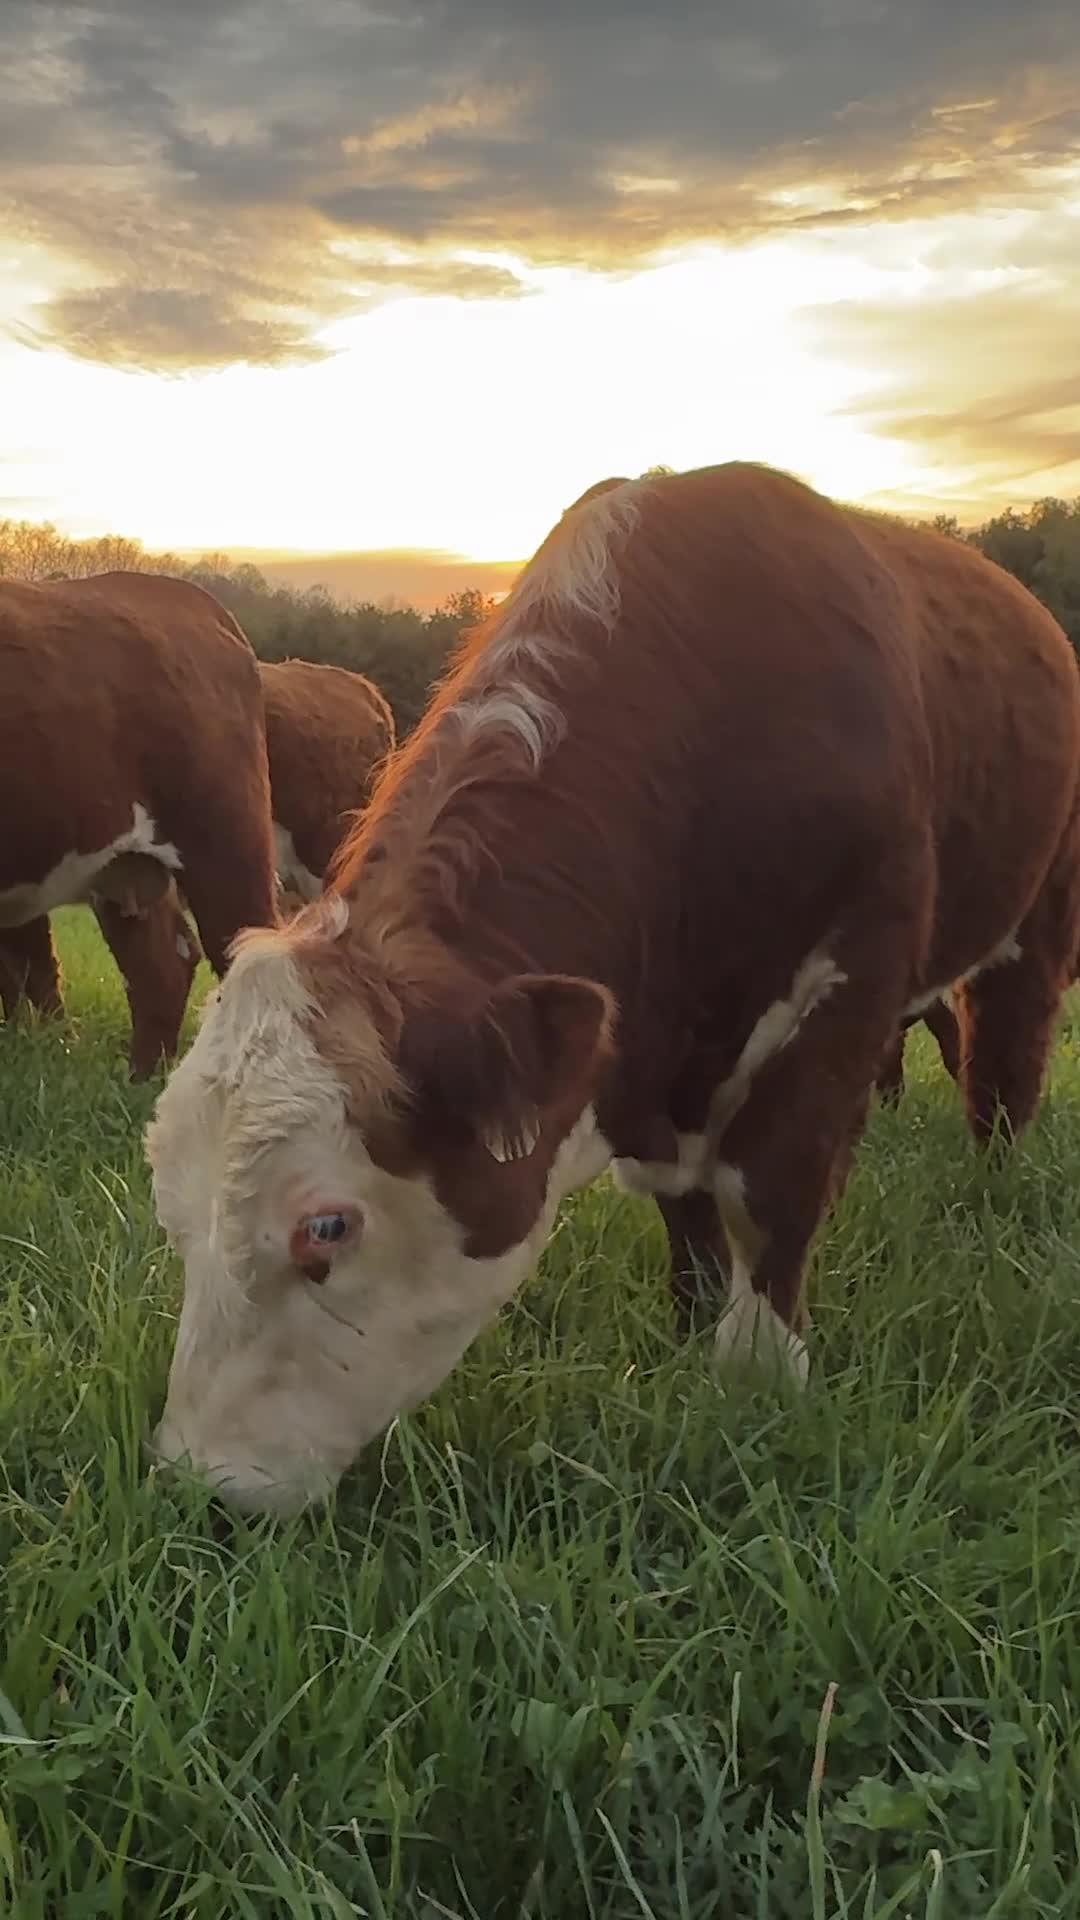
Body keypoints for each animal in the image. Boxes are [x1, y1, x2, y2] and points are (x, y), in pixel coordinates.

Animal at [145, 461, 1080, 1515]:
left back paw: (992, 1186)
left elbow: (774, 1186)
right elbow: (686, 1210)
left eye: (328, 1227)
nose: (202, 1486)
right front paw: (689, 1334)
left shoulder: (853, 976)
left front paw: (758, 1376)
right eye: (171, 1211)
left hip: (1040, 908)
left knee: (1004, 1060)